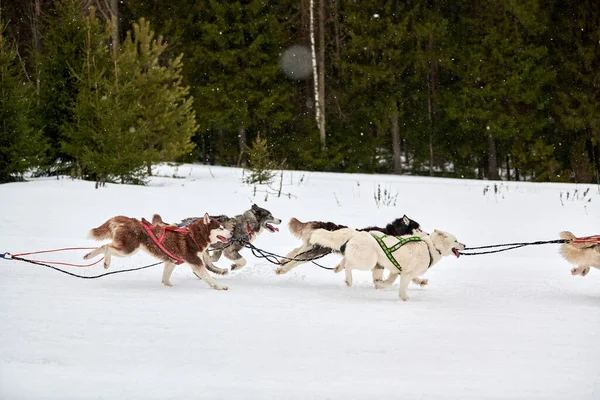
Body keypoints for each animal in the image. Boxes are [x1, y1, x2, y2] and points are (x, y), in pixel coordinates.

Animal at [84, 214, 232, 290]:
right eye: (220, 228)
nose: (231, 233)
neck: (194, 235)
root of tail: (129, 219)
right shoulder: (195, 262)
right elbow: (208, 277)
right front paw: (220, 286)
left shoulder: (171, 261)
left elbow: (165, 278)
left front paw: (169, 286)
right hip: (128, 249)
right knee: (107, 247)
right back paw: (106, 262)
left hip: (127, 249)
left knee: (103, 246)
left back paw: (88, 255)